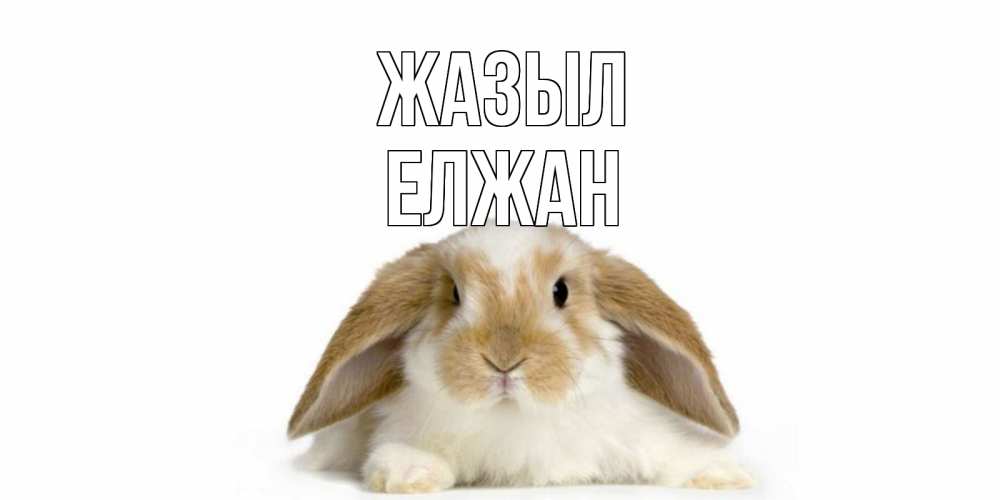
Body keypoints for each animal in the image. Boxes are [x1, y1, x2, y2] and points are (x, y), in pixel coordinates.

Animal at [288, 224, 753, 493]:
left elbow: (671, 452)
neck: (514, 416)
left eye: (561, 291)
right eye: (454, 294)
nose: (504, 359)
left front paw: (724, 475)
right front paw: (409, 474)